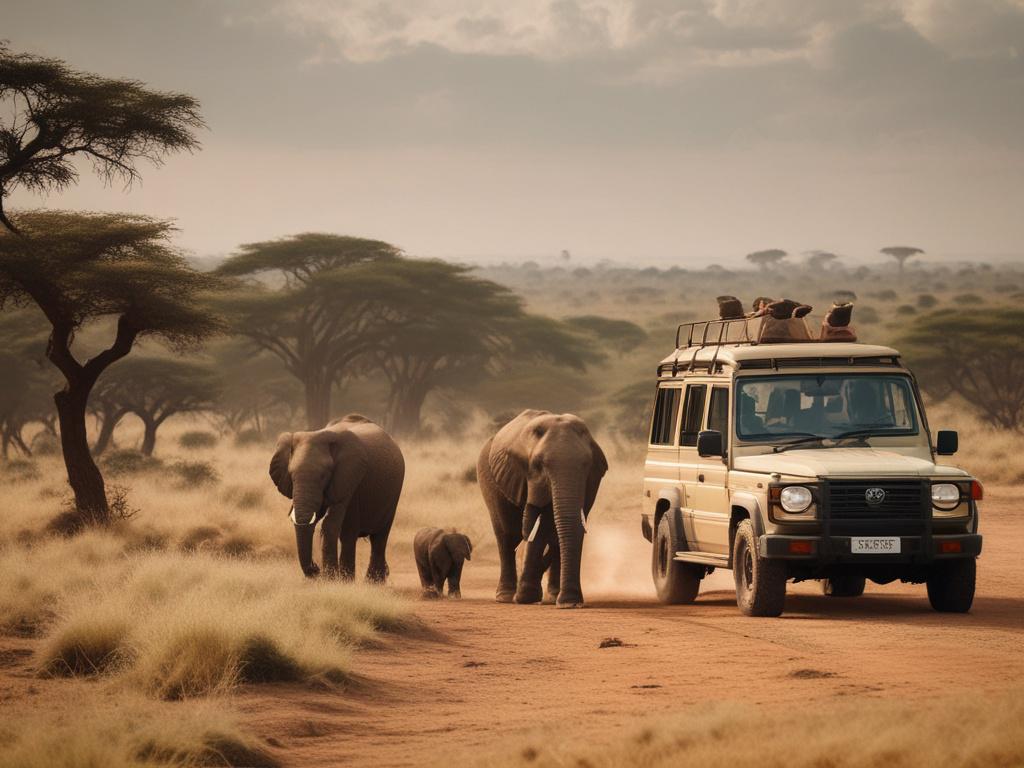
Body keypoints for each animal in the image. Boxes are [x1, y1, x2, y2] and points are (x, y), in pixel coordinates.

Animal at [269, 414, 404, 581]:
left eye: (323, 476)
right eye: (292, 477)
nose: (316, 569)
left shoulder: (350, 477)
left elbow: (331, 523)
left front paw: (332, 579)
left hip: (393, 493)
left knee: (377, 536)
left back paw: (372, 582)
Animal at [477, 409, 607, 609]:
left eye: (587, 465)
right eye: (539, 465)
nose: (573, 603)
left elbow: (553, 528)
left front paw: (564, 602)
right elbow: (539, 524)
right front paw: (527, 597)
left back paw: (552, 596)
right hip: (487, 476)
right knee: (506, 535)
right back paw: (506, 596)